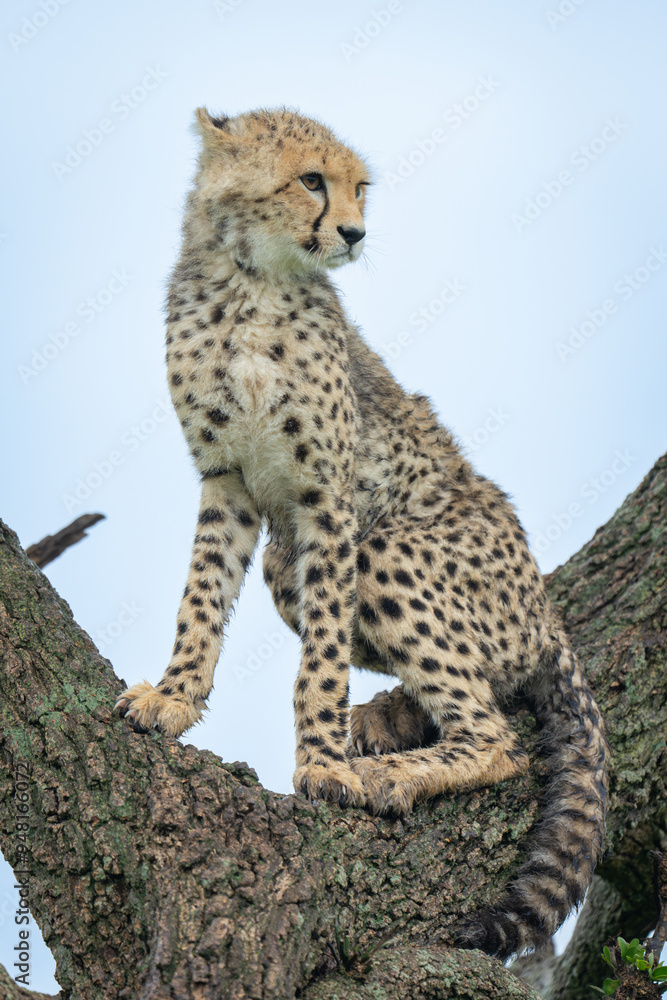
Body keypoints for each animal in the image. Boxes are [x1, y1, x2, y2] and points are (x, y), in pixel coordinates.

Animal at [116, 106, 609, 958]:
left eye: (359, 188)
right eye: (311, 180)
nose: (354, 232)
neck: (252, 283)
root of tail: (546, 614)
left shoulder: (329, 503)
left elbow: (319, 662)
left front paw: (321, 766)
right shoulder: (227, 482)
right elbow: (200, 603)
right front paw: (173, 697)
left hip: (388, 551)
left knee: (496, 735)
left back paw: (392, 767)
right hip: (285, 564)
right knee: (482, 691)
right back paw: (390, 718)